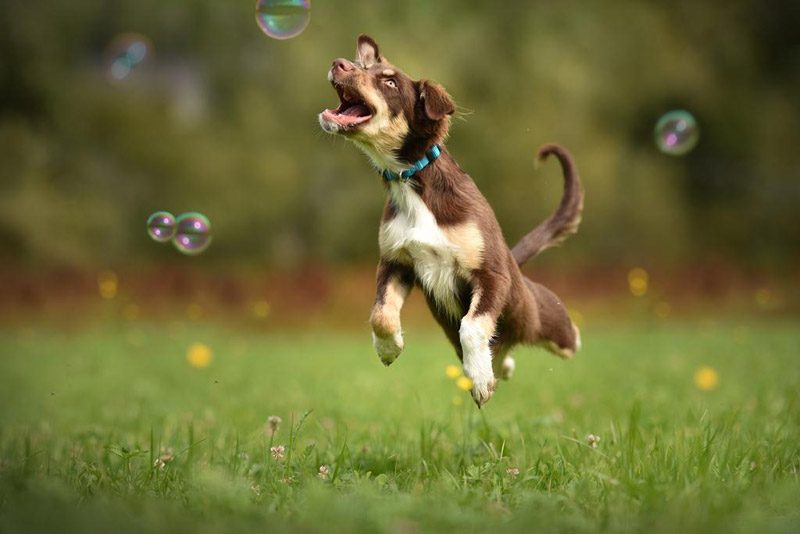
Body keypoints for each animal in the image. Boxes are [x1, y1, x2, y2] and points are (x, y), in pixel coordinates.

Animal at [316, 34, 584, 410]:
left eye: (389, 82)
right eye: (361, 66)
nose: (338, 63)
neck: (411, 181)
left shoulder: (490, 273)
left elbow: (471, 325)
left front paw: (480, 382)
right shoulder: (396, 262)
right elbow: (380, 313)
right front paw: (389, 348)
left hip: (546, 319)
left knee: (568, 337)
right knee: (502, 354)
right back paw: (500, 366)